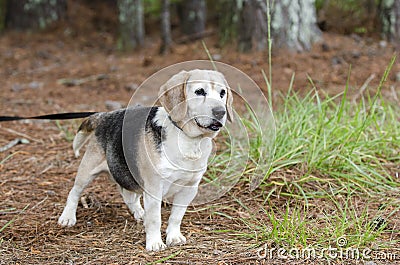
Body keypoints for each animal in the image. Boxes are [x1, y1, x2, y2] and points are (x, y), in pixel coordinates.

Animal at [57, 68, 233, 250]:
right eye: (199, 91)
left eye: (222, 93)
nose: (220, 112)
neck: (187, 140)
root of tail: (104, 116)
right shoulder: (154, 189)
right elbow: (155, 219)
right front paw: (155, 243)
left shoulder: (189, 189)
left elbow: (176, 216)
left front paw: (173, 236)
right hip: (87, 171)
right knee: (74, 192)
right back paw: (67, 217)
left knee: (128, 196)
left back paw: (140, 213)